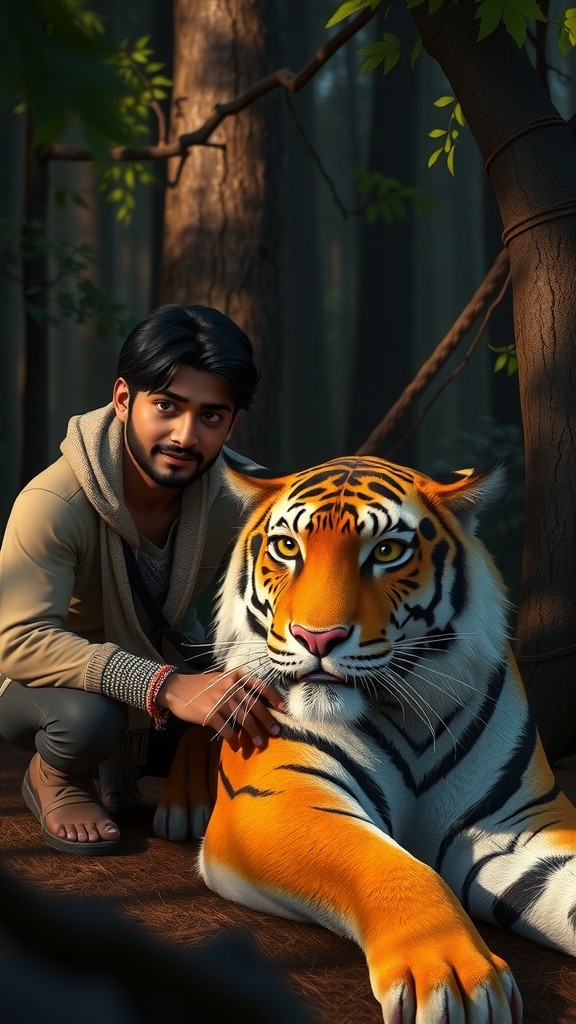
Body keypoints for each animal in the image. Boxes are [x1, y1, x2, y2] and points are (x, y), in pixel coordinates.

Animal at [154, 454, 576, 1024]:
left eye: (387, 552)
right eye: (287, 547)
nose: (316, 638)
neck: (410, 712)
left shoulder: (517, 821)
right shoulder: (276, 800)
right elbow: (395, 865)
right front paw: (456, 980)